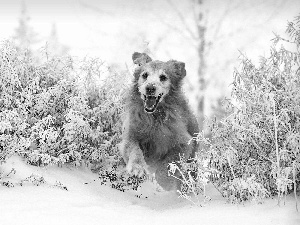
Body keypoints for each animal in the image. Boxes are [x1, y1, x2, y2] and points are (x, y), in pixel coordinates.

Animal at [119, 52, 199, 192]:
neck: (154, 119)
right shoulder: (130, 135)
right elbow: (135, 151)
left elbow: (167, 166)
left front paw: (166, 184)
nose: (150, 88)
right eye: (145, 75)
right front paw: (137, 168)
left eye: (163, 77)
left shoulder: (184, 143)